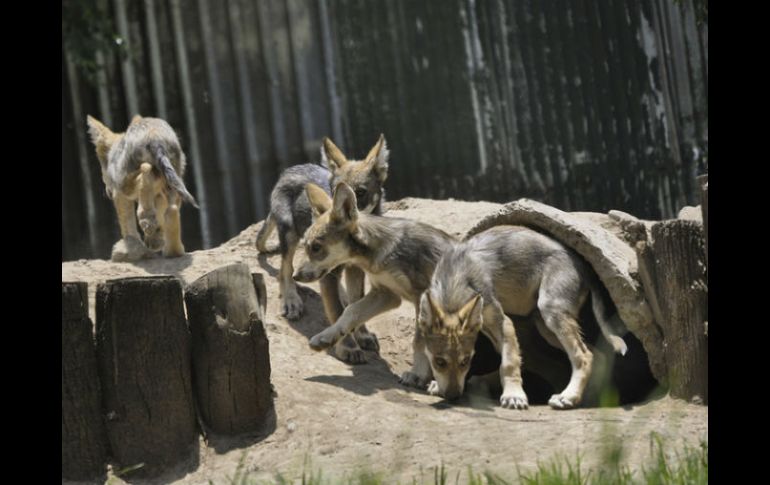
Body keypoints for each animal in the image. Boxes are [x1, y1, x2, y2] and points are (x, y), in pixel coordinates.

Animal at [86, 115, 198, 262]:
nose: (107, 191)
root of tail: (155, 137)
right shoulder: (158, 194)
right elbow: (159, 214)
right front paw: (154, 240)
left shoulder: (119, 194)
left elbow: (127, 224)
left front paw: (131, 247)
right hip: (174, 180)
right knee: (172, 209)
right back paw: (173, 251)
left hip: (126, 184)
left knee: (146, 169)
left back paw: (146, 217)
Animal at [256, 136, 389, 363]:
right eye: (334, 192)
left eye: (361, 192)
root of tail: (290, 169)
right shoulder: (327, 273)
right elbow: (335, 311)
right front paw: (348, 348)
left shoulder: (355, 269)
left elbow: (356, 305)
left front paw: (362, 335)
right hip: (290, 233)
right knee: (285, 270)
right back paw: (292, 301)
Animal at [294, 182, 457, 383]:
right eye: (305, 246)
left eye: (316, 248)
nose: (295, 276)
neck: (386, 252)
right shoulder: (387, 294)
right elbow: (350, 311)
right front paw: (326, 338)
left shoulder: (422, 297)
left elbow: (419, 341)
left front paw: (417, 374)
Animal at [417, 225, 628, 410]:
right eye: (439, 362)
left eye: (465, 361)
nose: (453, 396)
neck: (455, 281)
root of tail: (583, 264)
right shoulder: (490, 329)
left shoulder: (504, 323)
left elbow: (509, 364)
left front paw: (514, 396)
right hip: (547, 328)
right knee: (596, 355)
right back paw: (584, 399)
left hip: (551, 313)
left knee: (583, 356)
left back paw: (568, 397)